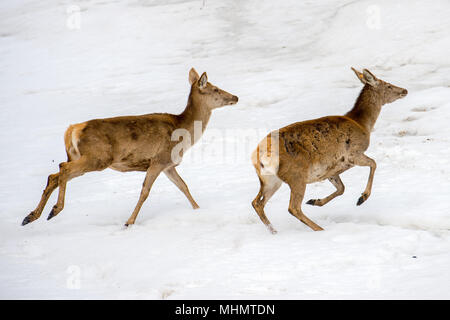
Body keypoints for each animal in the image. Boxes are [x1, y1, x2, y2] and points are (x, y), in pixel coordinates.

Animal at [22, 68, 239, 228]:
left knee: (54, 175)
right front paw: (129, 222)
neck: (184, 133)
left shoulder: (168, 165)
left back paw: (31, 216)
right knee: (62, 168)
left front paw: (198, 209)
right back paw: (54, 209)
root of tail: (73, 129)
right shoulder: (158, 159)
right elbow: (145, 192)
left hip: (80, 156)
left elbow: (184, 186)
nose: (235, 97)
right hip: (98, 157)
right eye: (215, 89)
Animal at [250, 67, 408, 234]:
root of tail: (259, 155)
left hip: (270, 180)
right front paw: (362, 198)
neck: (362, 124)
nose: (404, 90)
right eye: (388, 85)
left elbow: (341, 188)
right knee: (293, 207)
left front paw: (315, 201)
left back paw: (274, 231)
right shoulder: (353, 153)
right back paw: (319, 229)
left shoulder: (330, 169)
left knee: (257, 202)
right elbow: (374, 163)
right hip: (296, 175)